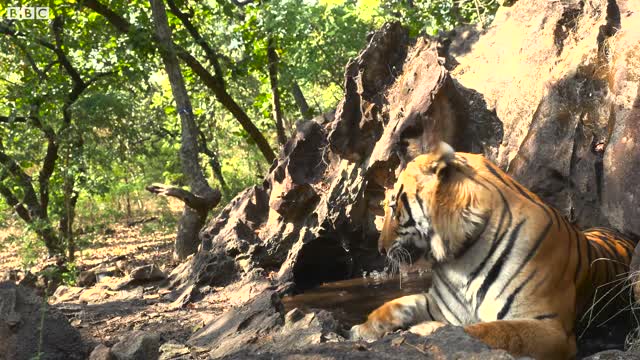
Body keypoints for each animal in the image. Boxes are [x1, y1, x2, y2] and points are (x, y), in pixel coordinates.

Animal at [352, 142, 636, 360]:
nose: (380, 248)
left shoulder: (550, 327)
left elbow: (491, 332)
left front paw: (422, 331)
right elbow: (398, 303)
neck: (460, 257)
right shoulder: (441, 306)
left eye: (393, 207)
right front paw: (362, 329)